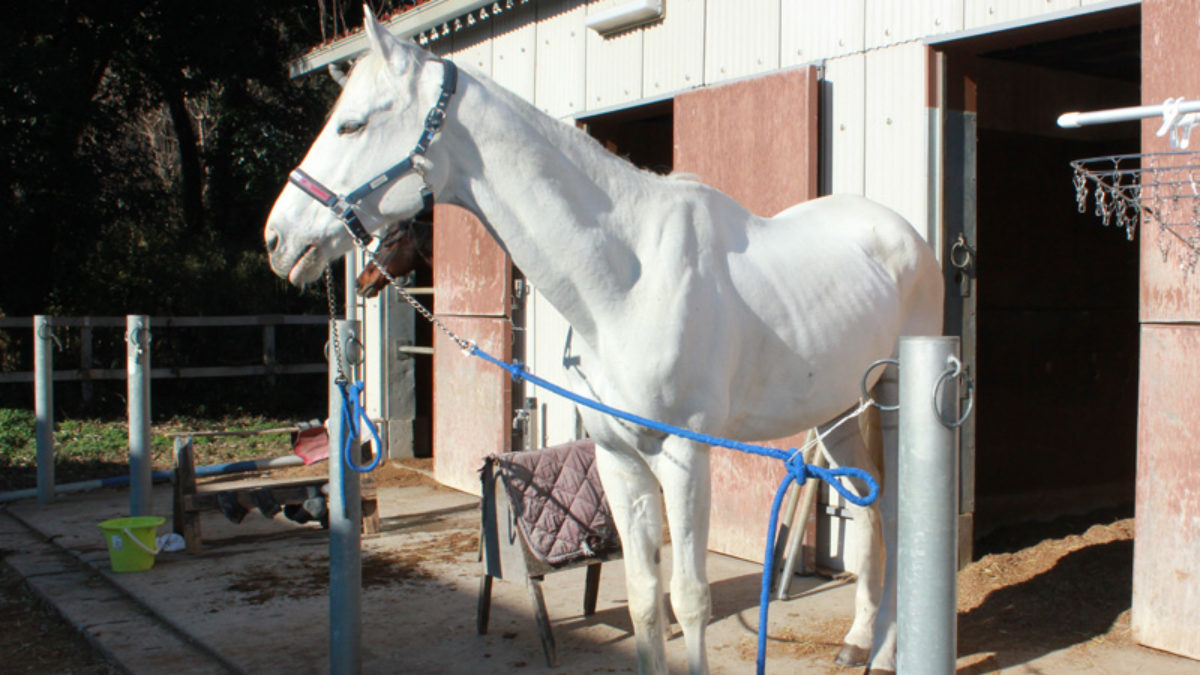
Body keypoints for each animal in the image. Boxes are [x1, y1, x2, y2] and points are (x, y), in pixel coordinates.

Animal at [265, 11, 945, 672]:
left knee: (895, 510)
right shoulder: (620, 459)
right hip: (836, 409)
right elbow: (645, 599)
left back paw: (887, 651)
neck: (629, 276)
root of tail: (903, 235)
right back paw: (857, 641)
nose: (278, 240)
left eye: (352, 124)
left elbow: (688, 600)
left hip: (892, 398)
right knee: (865, 504)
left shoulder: (684, 457)